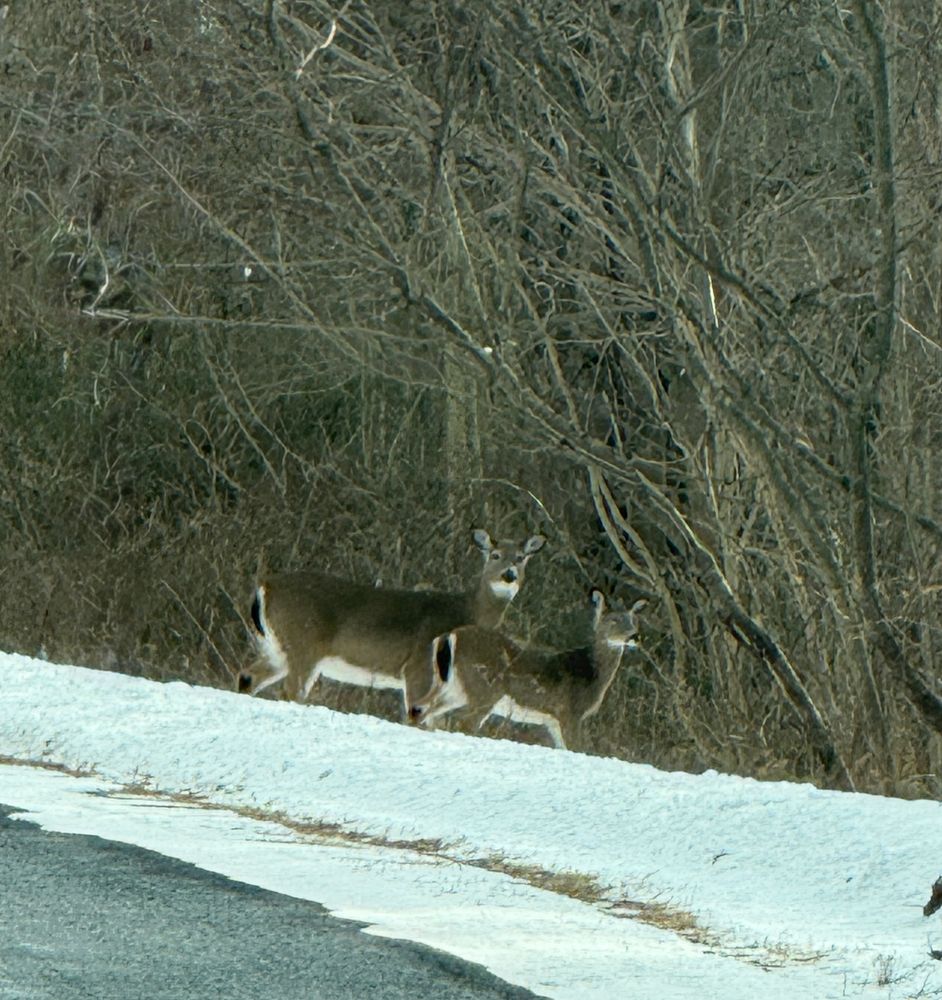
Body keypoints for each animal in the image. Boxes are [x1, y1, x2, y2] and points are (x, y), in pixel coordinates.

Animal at [238, 529, 546, 719]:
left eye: (521, 558)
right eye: (495, 555)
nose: (509, 575)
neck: (466, 611)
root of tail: (265, 587)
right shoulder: (418, 666)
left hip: (276, 648)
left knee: (248, 676)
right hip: (304, 643)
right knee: (290, 690)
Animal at [409, 592, 646, 751]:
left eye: (633, 619)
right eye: (613, 620)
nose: (635, 636)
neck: (592, 674)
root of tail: (450, 636)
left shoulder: (553, 721)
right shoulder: (570, 712)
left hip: (452, 687)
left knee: (421, 708)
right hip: (484, 687)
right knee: (461, 721)